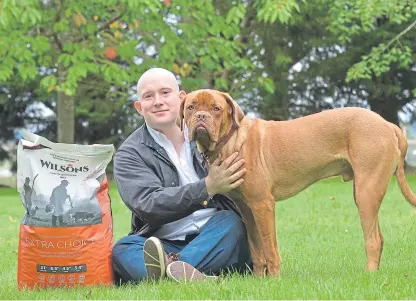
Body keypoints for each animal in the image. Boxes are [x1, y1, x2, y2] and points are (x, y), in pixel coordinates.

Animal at [178, 88, 416, 276]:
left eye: (216, 108)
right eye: (190, 107)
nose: (200, 116)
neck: (230, 142)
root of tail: (388, 124)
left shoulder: (263, 204)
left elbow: (270, 248)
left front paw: (273, 281)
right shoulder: (247, 209)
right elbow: (257, 249)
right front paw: (258, 280)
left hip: (367, 191)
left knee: (373, 240)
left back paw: (369, 276)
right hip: (364, 192)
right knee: (379, 237)